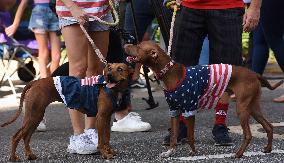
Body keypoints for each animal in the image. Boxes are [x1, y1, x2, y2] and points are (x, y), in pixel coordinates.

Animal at [1, 62, 133, 160]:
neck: (112, 90)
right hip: (33, 115)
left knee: (26, 137)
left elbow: (107, 138)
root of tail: (36, 82)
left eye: (120, 69)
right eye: (109, 68)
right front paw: (105, 154)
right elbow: (101, 140)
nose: (109, 75)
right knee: (16, 136)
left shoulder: (106, 118)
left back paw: (29, 155)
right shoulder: (101, 117)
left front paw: (109, 151)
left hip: (36, 116)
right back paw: (13, 157)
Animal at [125, 40, 284, 158]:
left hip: (242, 108)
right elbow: (174, 136)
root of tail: (255, 74)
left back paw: (239, 154)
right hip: (252, 107)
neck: (170, 73)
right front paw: (169, 152)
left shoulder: (189, 110)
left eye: (138, 46)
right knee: (269, 126)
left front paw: (193, 152)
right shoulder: (174, 111)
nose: (125, 44)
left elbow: (190, 135)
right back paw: (268, 149)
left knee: (249, 135)